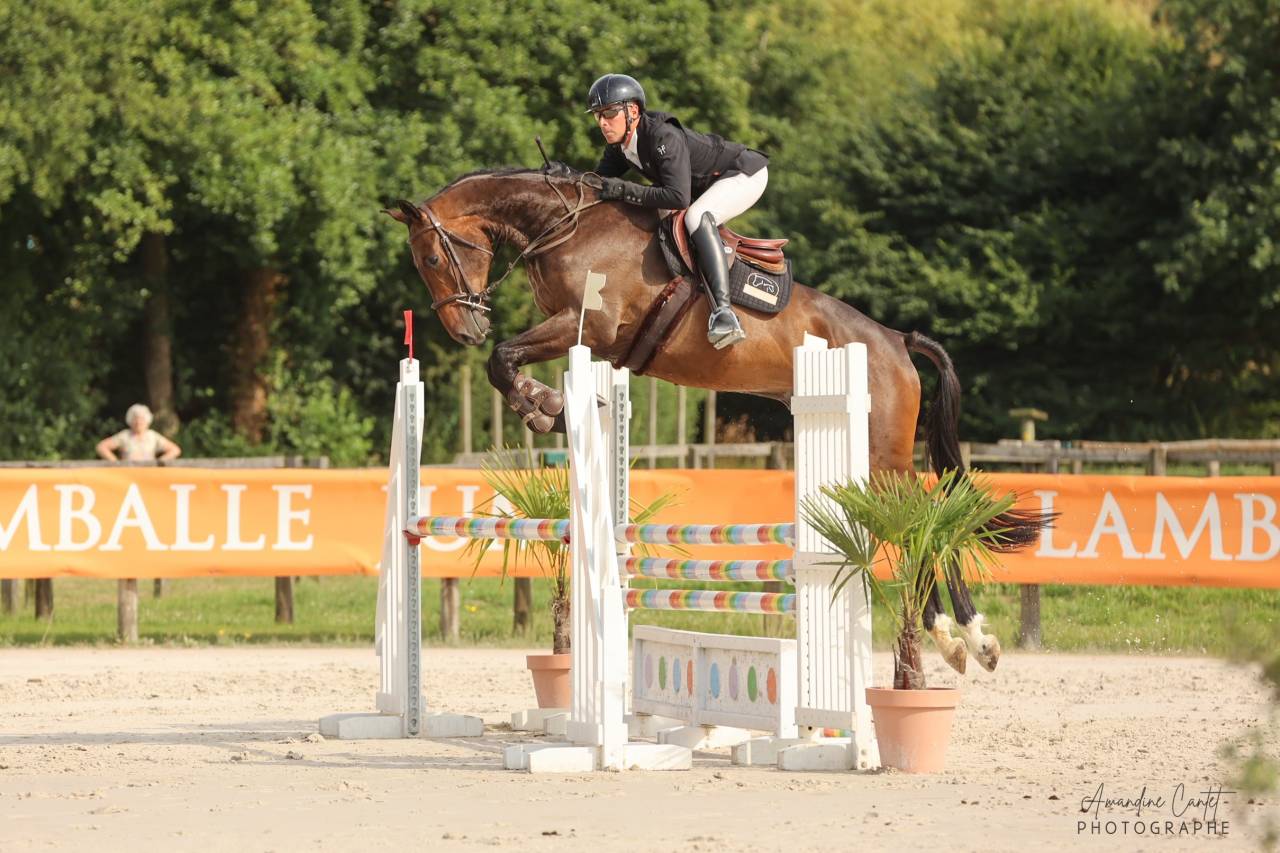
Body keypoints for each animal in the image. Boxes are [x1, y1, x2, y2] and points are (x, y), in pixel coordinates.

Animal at [388, 166, 1044, 673]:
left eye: (432, 256)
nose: (465, 328)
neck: (563, 226)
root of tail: (895, 341)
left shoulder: (588, 326)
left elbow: (504, 359)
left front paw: (539, 403)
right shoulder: (585, 338)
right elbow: (505, 361)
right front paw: (542, 403)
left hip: (883, 457)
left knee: (928, 521)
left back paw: (968, 640)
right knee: (916, 523)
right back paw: (959, 638)